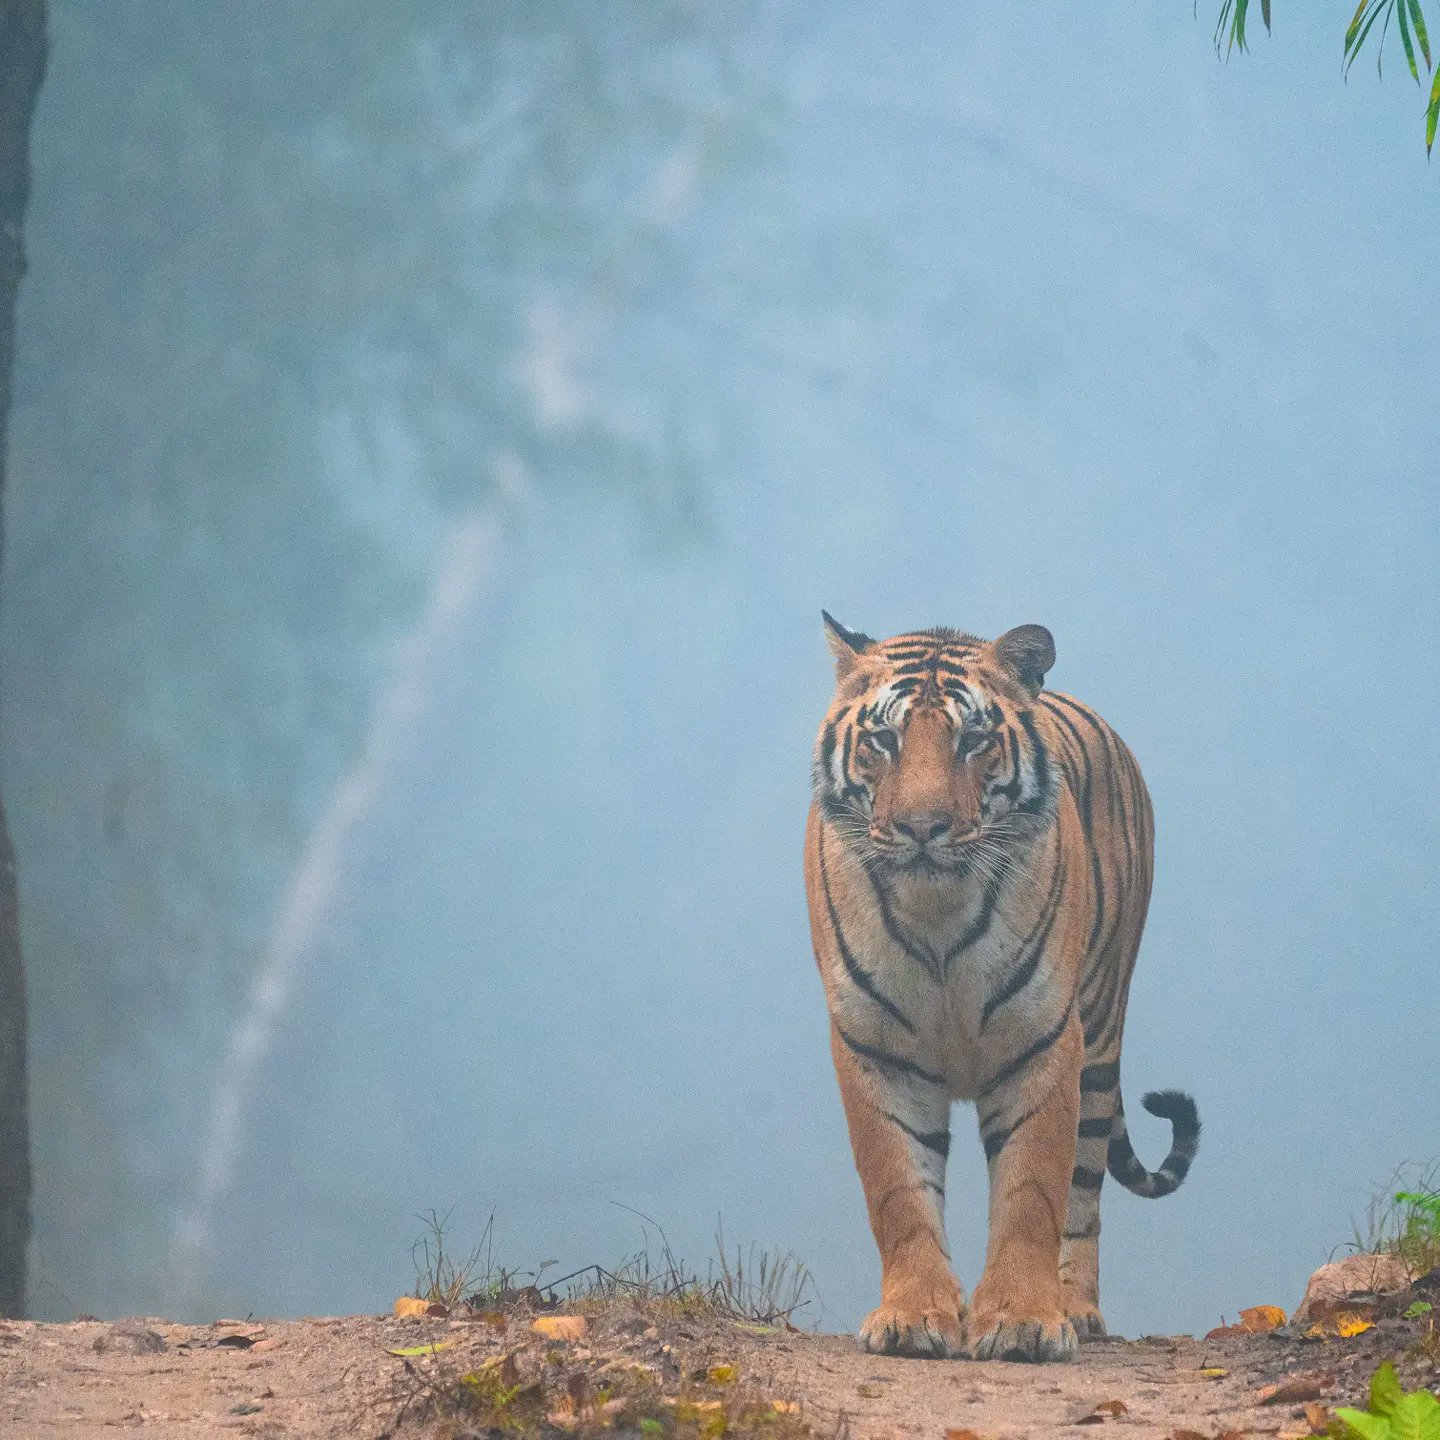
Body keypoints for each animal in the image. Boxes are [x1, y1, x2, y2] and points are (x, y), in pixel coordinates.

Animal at [806, 616, 1198, 1359]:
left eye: (973, 740)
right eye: (884, 740)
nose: (922, 828)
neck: (936, 912)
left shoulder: (1040, 1038)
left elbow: (1031, 1190)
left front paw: (1022, 1321)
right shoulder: (875, 1046)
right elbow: (898, 1190)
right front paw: (912, 1316)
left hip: (1100, 1035)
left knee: (1084, 1190)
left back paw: (1076, 1309)